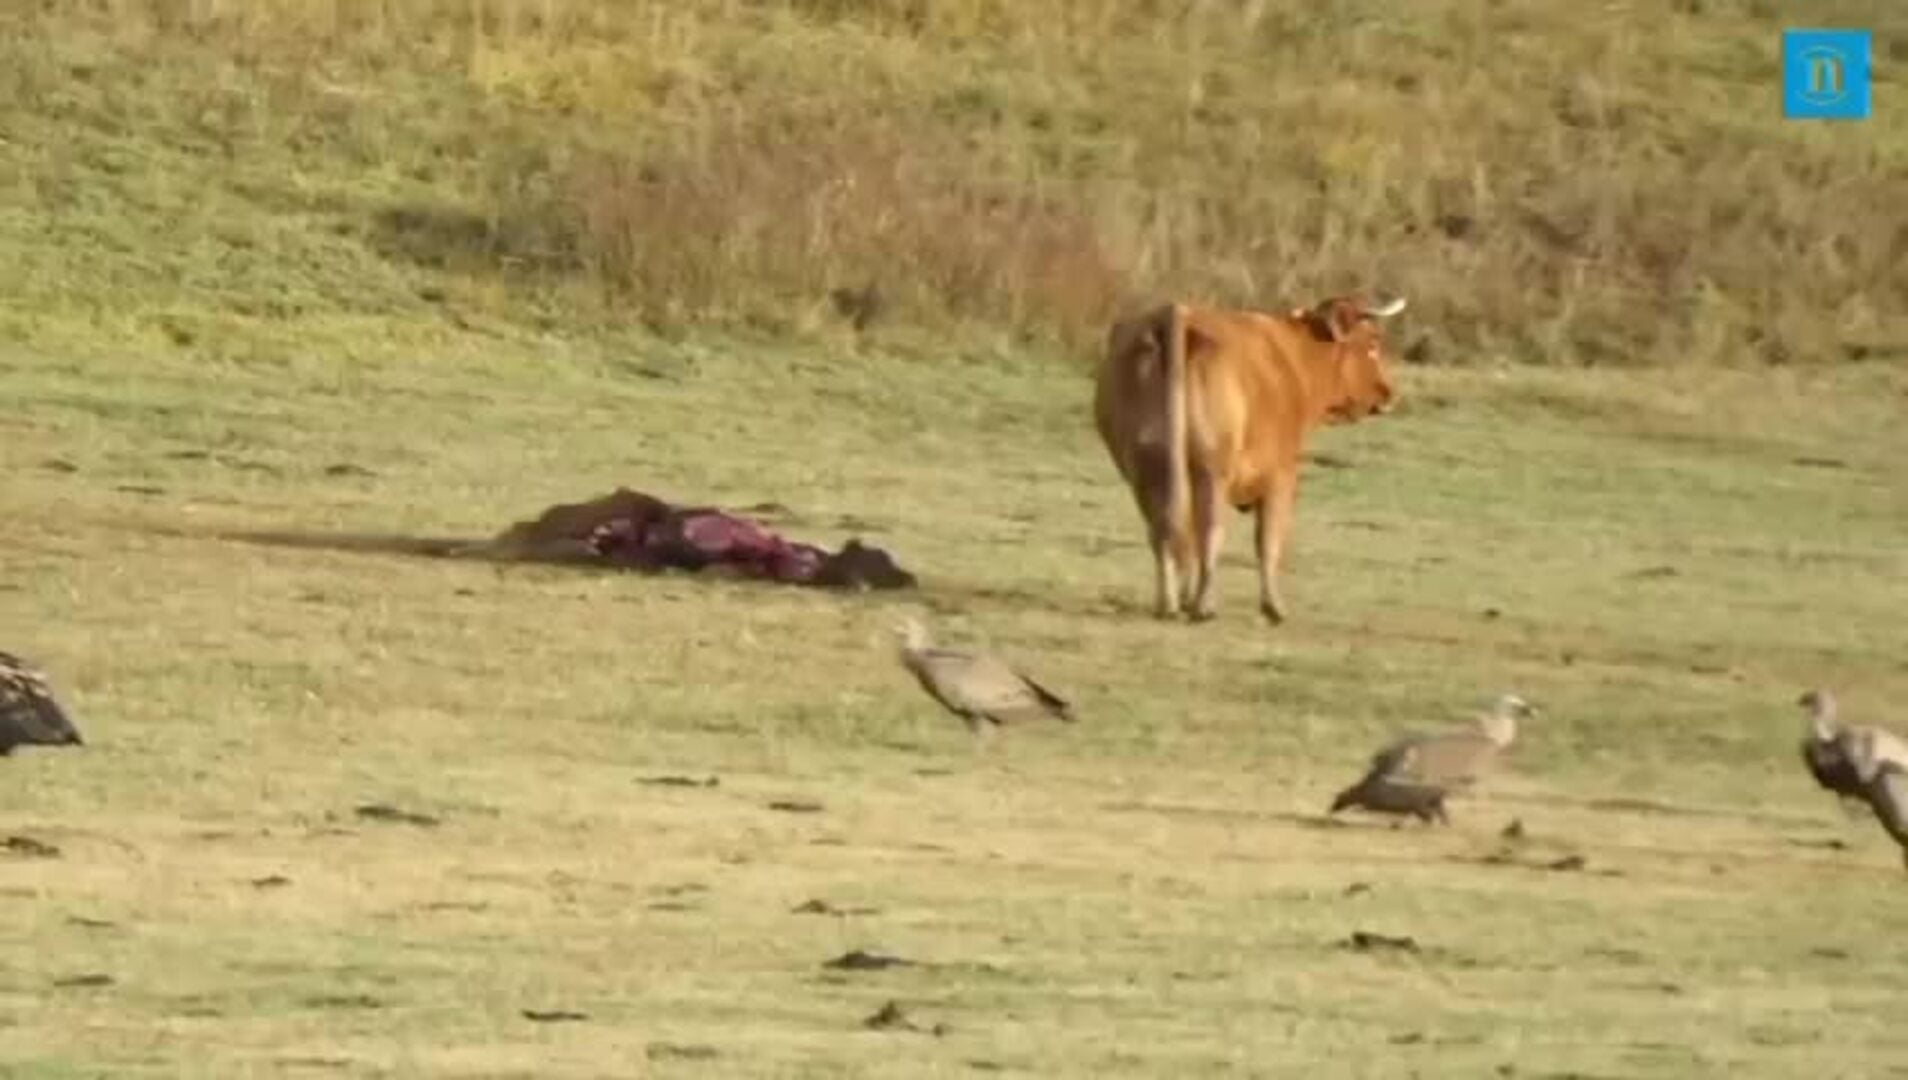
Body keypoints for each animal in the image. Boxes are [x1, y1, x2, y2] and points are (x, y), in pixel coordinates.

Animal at [1091, 292, 1407, 625]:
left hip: (1145, 470)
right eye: (1372, 343)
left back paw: (1169, 603)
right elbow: (1268, 541)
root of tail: (1178, 314)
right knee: (1209, 530)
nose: (1389, 394)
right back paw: (1205, 606)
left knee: (1165, 532)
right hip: (1212, 469)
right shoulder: (1281, 475)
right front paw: (1273, 607)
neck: (1294, 359)